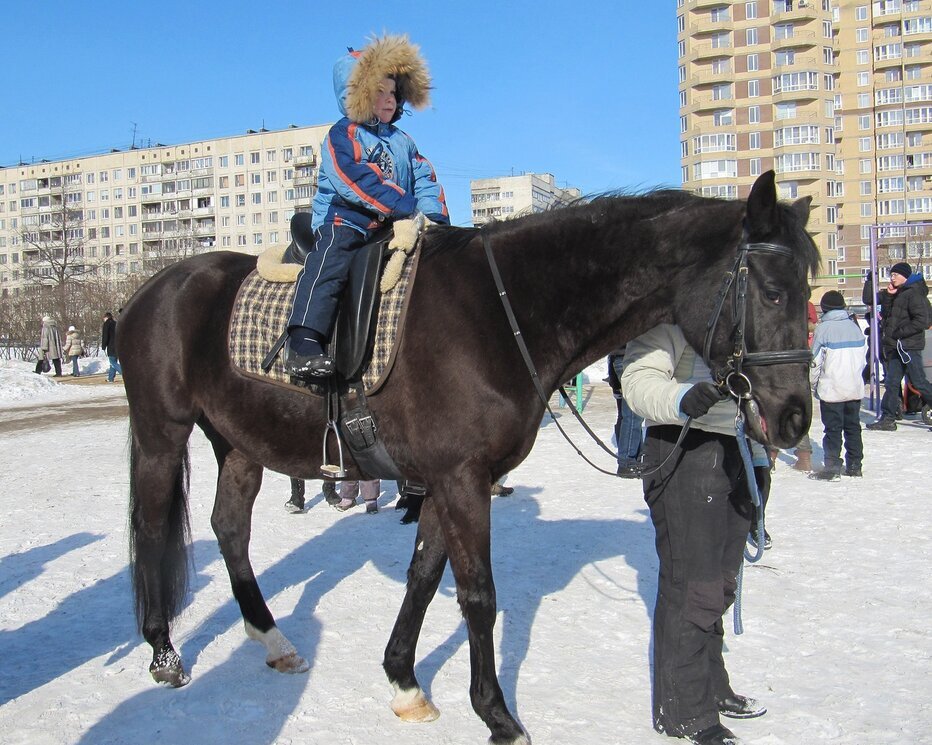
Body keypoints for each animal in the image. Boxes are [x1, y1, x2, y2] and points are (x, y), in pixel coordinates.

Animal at [122, 171, 816, 740]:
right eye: (772, 292)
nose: (794, 417)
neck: (500, 313)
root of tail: (151, 288)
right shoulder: (461, 479)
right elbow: (477, 594)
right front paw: (498, 715)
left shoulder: (443, 480)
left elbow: (425, 578)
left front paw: (404, 681)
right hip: (162, 434)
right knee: (154, 529)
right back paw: (163, 653)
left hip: (240, 443)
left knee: (229, 530)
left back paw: (272, 640)